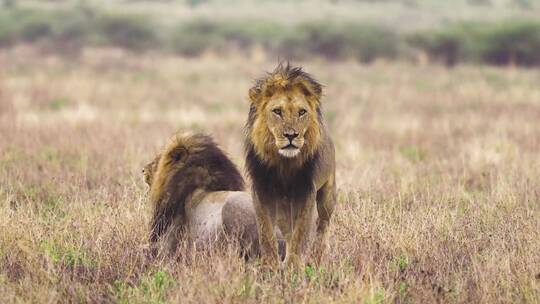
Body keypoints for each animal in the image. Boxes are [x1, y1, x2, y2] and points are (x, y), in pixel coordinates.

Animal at [244, 62, 336, 268]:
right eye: (277, 111)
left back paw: (319, 256)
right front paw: (270, 265)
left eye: (302, 112)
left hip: (327, 194)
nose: (291, 135)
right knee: (286, 232)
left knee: (323, 225)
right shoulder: (261, 190)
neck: (284, 163)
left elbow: (300, 232)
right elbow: (266, 231)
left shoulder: (306, 191)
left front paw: (294, 266)